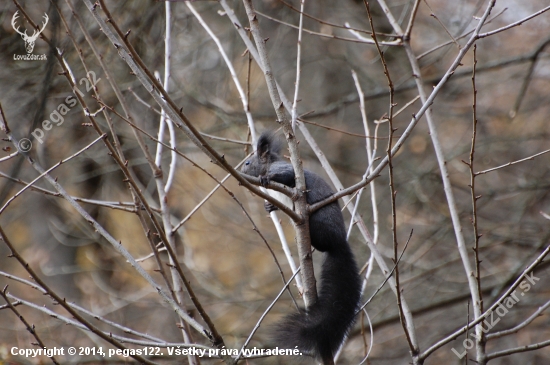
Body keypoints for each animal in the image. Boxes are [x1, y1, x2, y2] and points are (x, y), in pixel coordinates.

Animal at [244, 132, 364, 362]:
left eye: (247, 162)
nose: (242, 173)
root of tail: (338, 242)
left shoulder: (284, 170)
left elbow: (286, 175)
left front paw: (266, 179)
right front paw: (268, 206)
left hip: (319, 220)